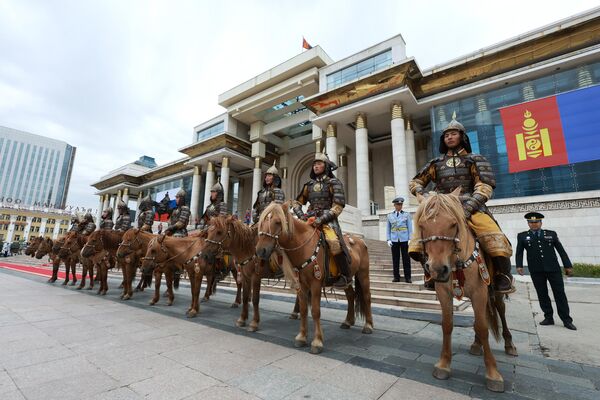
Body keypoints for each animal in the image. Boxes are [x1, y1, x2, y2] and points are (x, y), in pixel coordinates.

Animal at [255, 202, 372, 354]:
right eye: (261, 222)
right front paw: (301, 337)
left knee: (366, 296)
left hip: (363, 274)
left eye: (277, 222)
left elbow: (316, 311)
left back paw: (368, 326)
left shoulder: (315, 284)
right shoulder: (301, 284)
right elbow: (304, 309)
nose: (260, 251)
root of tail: (360, 241)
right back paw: (348, 321)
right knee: (350, 295)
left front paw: (317, 342)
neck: (304, 246)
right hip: (346, 279)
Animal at [412, 189, 516, 392]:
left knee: (500, 311)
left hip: (494, 291)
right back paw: (476, 345)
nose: (437, 269)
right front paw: (444, 364)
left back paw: (509, 344)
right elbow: (447, 324)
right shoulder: (444, 293)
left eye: (453, 223)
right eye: (421, 224)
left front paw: (493, 373)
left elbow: (483, 327)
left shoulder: (479, 292)